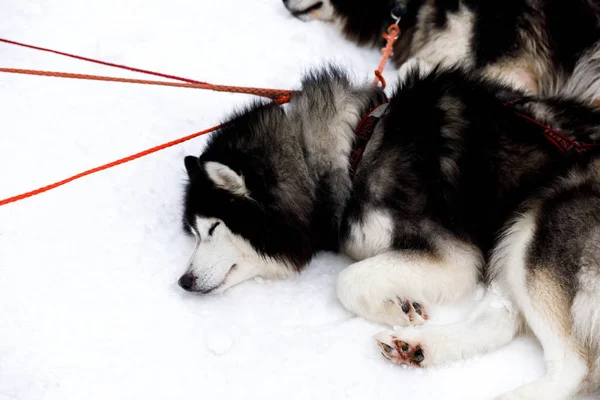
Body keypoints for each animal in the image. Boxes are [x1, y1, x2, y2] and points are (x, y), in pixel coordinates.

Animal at [180, 67, 600, 398]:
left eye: (213, 228)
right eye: (195, 233)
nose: (184, 281)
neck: (358, 146)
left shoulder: (453, 254)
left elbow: (346, 280)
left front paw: (389, 307)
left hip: (535, 224)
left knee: (572, 367)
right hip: (510, 239)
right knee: (500, 320)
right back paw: (415, 347)